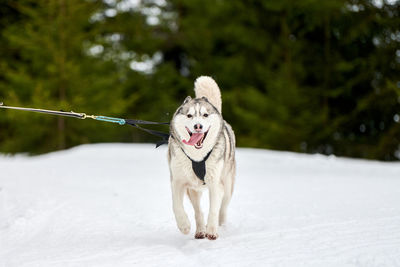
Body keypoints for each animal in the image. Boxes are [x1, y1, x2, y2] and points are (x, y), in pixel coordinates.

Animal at [167, 76, 236, 241]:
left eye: (205, 115)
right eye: (189, 115)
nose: (198, 126)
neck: (197, 158)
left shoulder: (215, 184)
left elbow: (213, 210)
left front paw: (212, 230)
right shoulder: (177, 182)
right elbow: (176, 205)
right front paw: (184, 225)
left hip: (227, 185)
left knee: (223, 208)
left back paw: (220, 225)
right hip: (193, 190)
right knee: (198, 211)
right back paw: (199, 230)